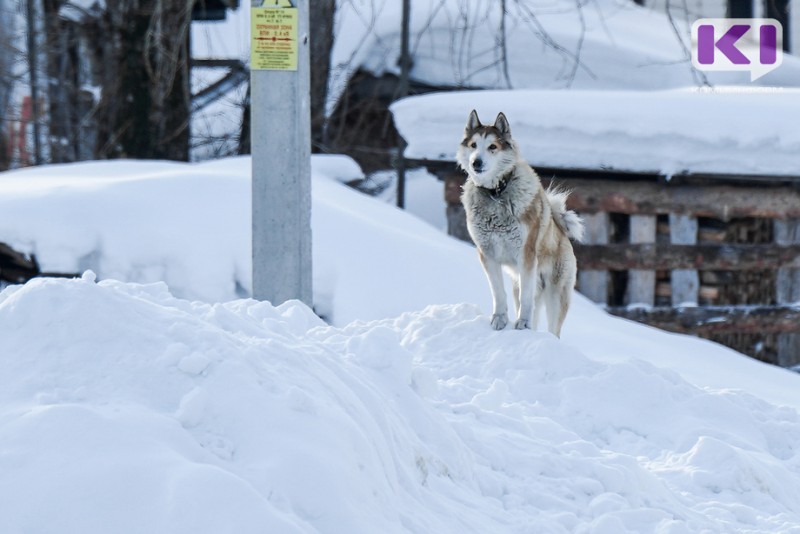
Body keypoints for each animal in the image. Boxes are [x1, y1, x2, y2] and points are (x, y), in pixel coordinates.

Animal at [460, 109, 584, 340]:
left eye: (493, 147)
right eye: (473, 145)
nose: (476, 162)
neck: (496, 193)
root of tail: (562, 234)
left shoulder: (526, 255)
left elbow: (526, 302)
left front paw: (522, 325)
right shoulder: (487, 254)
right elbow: (498, 292)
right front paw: (499, 320)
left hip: (555, 294)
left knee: (553, 328)